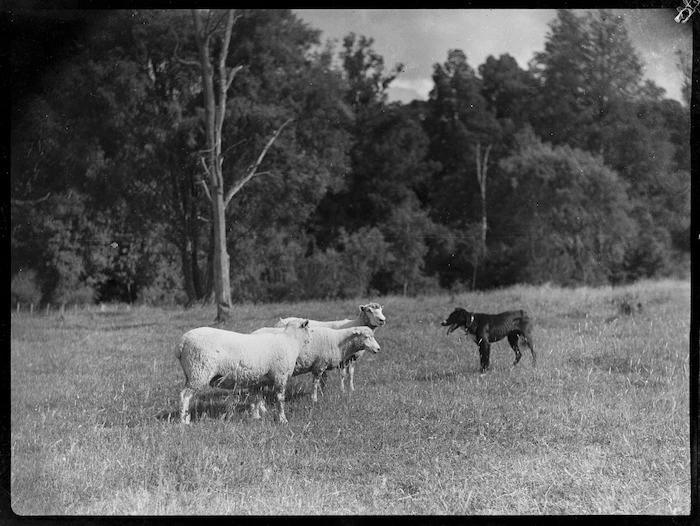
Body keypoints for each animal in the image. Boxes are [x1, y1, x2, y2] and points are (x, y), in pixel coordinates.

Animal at [175, 320, 308, 426]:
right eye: (308, 329)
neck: (291, 340)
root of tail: (182, 342)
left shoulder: (257, 381)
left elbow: (256, 399)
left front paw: (256, 417)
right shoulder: (280, 376)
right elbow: (280, 400)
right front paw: (283, 420)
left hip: (191, 374)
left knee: (187, 396)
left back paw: (187, 418)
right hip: (199, 371)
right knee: (184, 396)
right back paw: (184, 422)